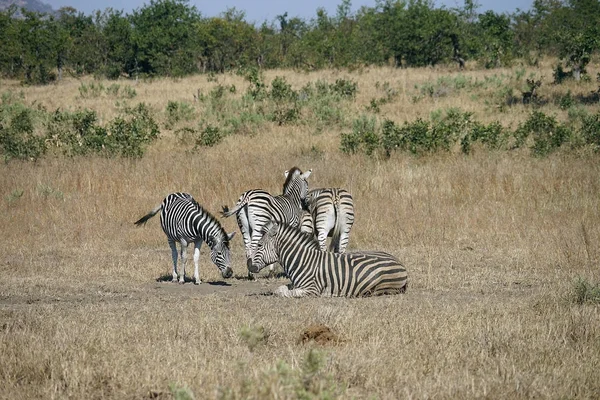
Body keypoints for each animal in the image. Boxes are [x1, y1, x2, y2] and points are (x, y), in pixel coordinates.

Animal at [248, 222, 408, 296]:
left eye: (259, 244)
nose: (249, 266)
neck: (302, 260)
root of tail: (400, 263)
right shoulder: (296, 284)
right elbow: (280, 288)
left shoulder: (311, 289)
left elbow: (283, 293)